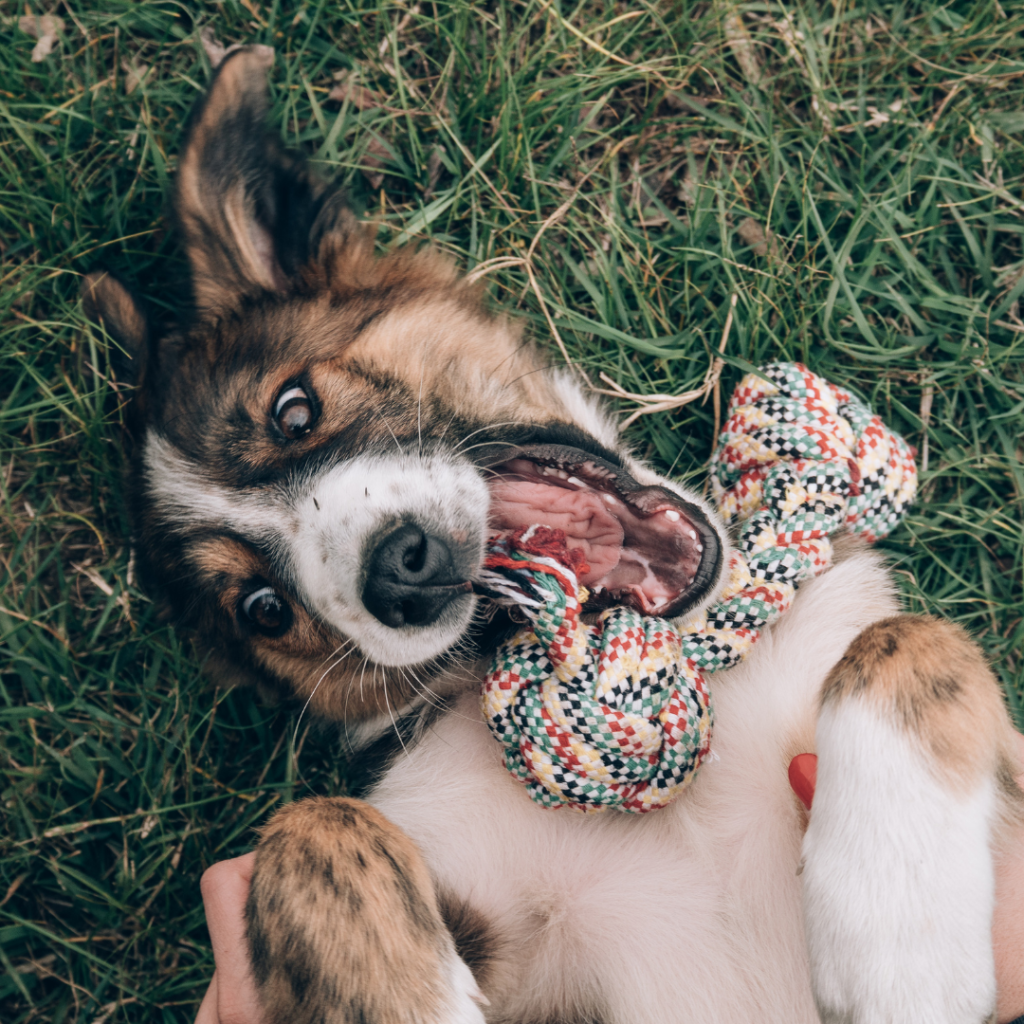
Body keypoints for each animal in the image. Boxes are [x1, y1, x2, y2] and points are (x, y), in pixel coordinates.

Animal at [86, 48, 1024, 1024]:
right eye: (264, 609)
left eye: (294, 410)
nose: (404, 574)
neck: (690, 663)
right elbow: (309, 824)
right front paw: (405, 1000)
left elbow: (909, 638)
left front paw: (900, 931)